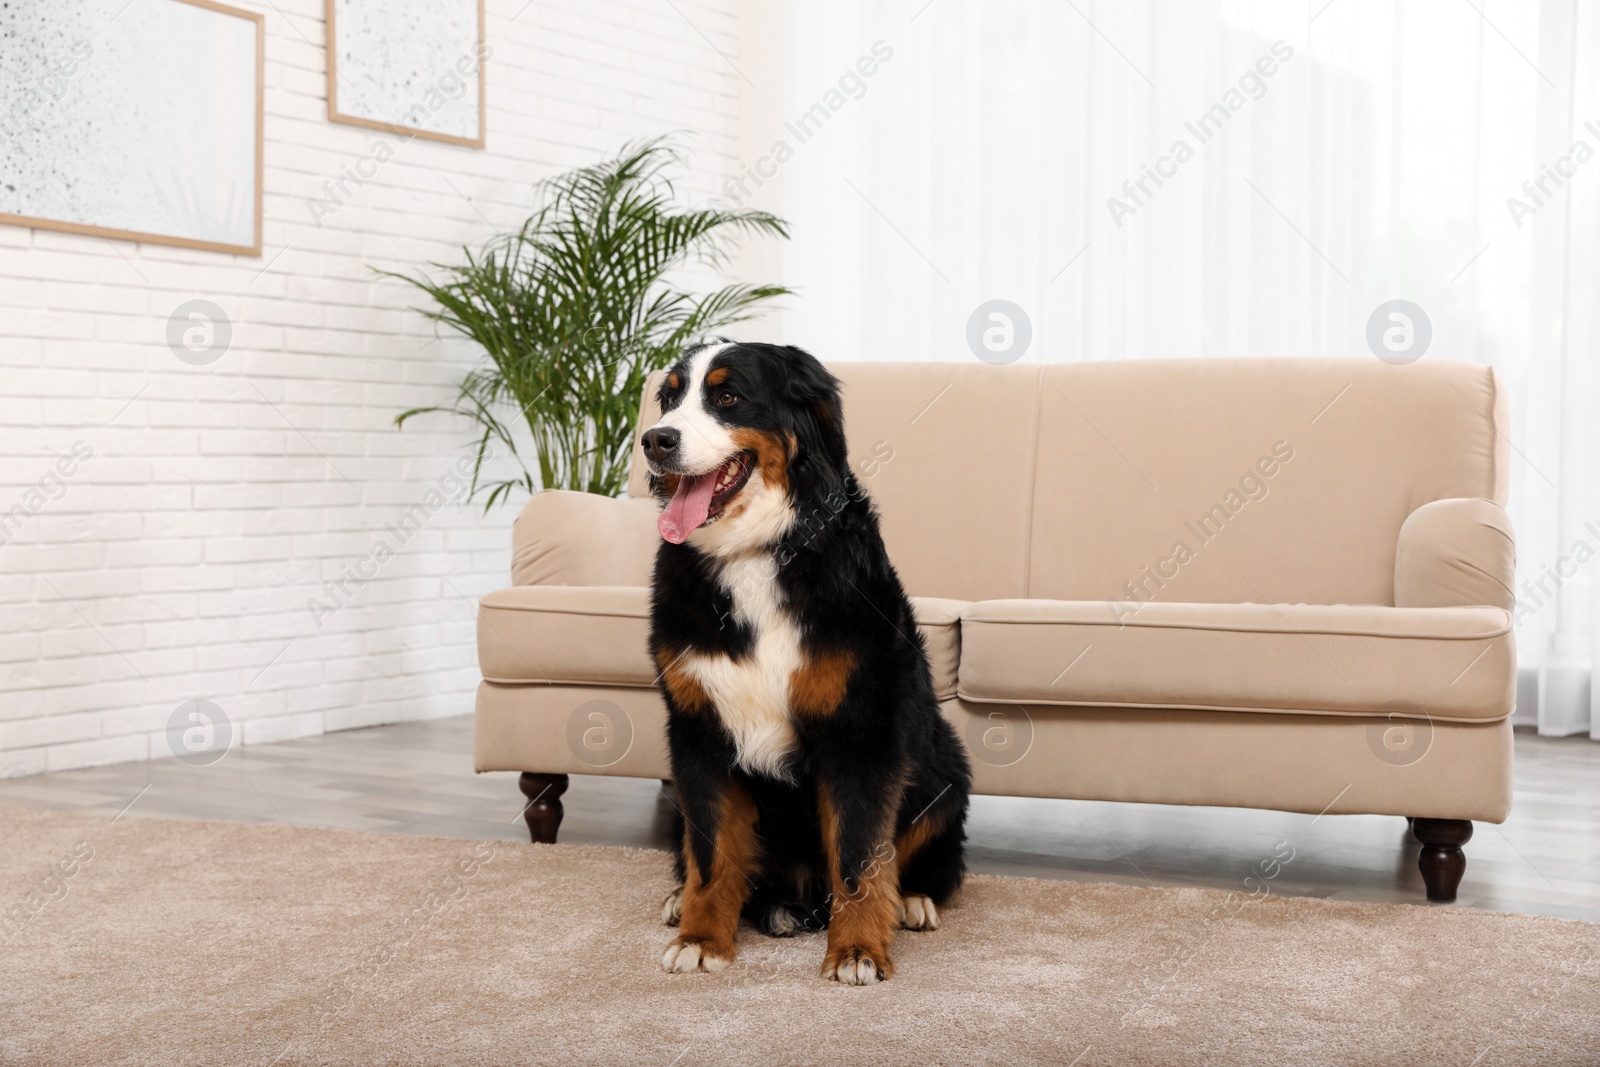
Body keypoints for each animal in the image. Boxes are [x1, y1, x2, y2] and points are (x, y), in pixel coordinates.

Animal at [640, 340, 966, 985]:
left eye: (727, 396)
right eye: (669, 398)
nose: (655, 440)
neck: (754, 554)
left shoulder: (861, 729)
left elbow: (859, 857)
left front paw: (858, 951)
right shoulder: (697, 729)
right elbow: (711, 853)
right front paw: (701, 938)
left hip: (945, 769)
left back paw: (912, 902)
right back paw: (678, 900)